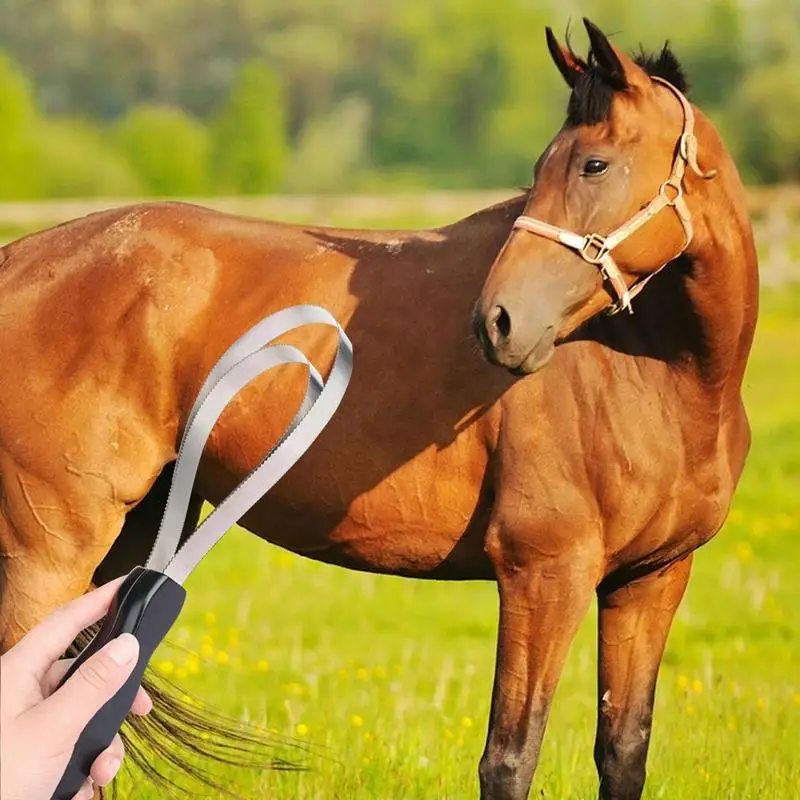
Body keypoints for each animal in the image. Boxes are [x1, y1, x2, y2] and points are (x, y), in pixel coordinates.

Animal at [0, 18, 756, 800]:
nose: (497, 322)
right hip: (49, 555)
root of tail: (18, 261)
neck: (658, 373)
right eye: (548, 166)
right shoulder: (544, 575)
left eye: (595, 165)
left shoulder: (651, 580)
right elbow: (510, 757)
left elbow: (622, 751)